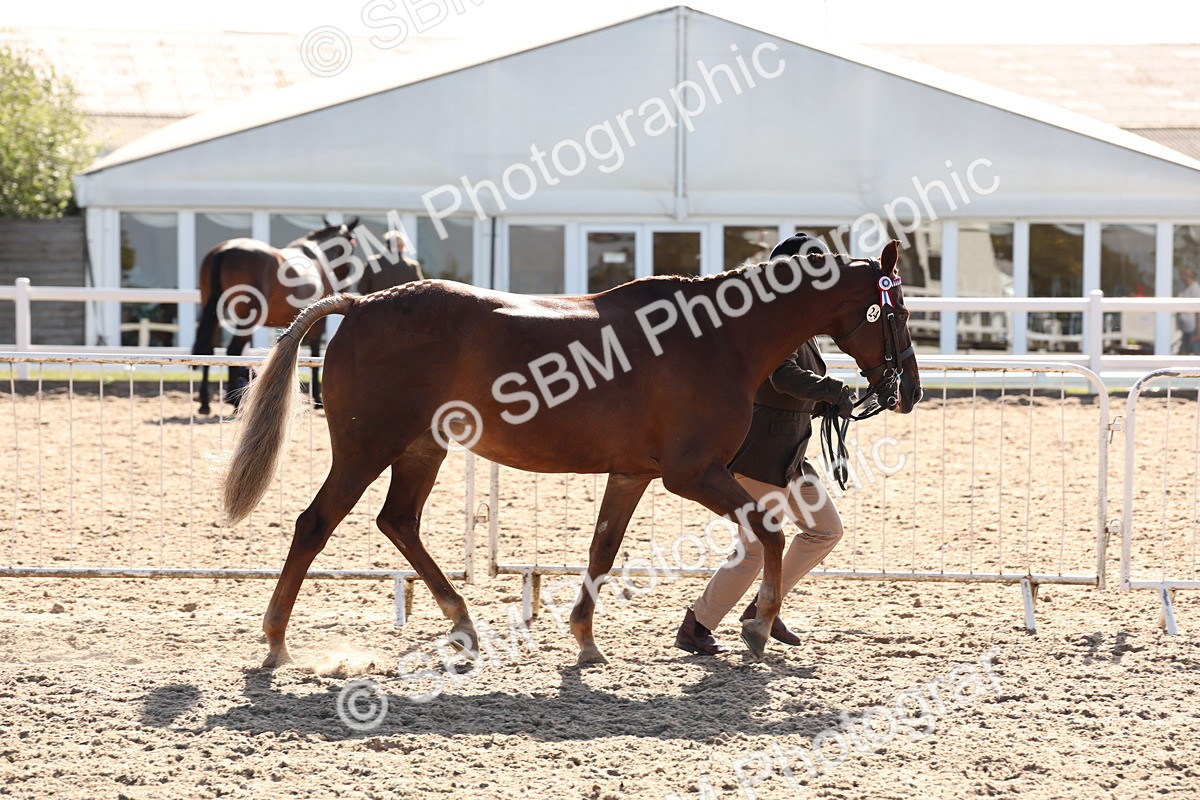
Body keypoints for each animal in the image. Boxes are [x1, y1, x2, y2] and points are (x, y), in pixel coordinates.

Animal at [191, 217, 360, 415]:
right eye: (353, 241)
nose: (345, 283)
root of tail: (225, 250)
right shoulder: (318, 323)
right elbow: (316, 353)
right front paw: (317, 398)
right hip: (248, 318)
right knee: (233, 350)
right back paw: (235, 402)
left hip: (213, 312)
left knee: (208, 349)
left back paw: (205, 402)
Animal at [221, 239, 922, 667]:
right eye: (896, 311)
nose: (909, 390)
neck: (717, 338)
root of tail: (363, 301)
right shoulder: (692, 473)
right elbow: (768, 533)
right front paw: (756, 629)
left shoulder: (633, 474)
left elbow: (603, 549)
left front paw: (585, 640)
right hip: (366, 450)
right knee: (314, 524)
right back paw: (277, 642)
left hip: (422, 449)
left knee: (399, 522)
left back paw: (463, 625)